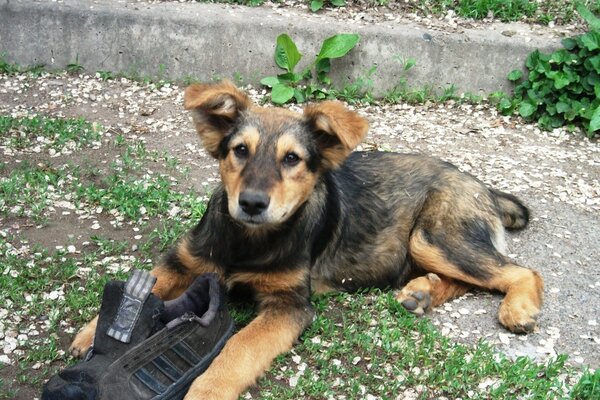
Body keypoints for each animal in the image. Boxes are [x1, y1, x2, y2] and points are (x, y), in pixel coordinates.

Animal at [70, 79, 544, 398]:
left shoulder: (290, 305)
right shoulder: (185, 260)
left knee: (521, 271)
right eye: (239, 150)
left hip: (431, 237)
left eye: (292, 159)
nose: (252, 203)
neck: (250, 240)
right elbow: (153, 278)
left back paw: (517, 308)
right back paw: (420, 293)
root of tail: (482, 185)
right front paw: (95, 331)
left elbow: (239, 348)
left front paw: (207, 389)